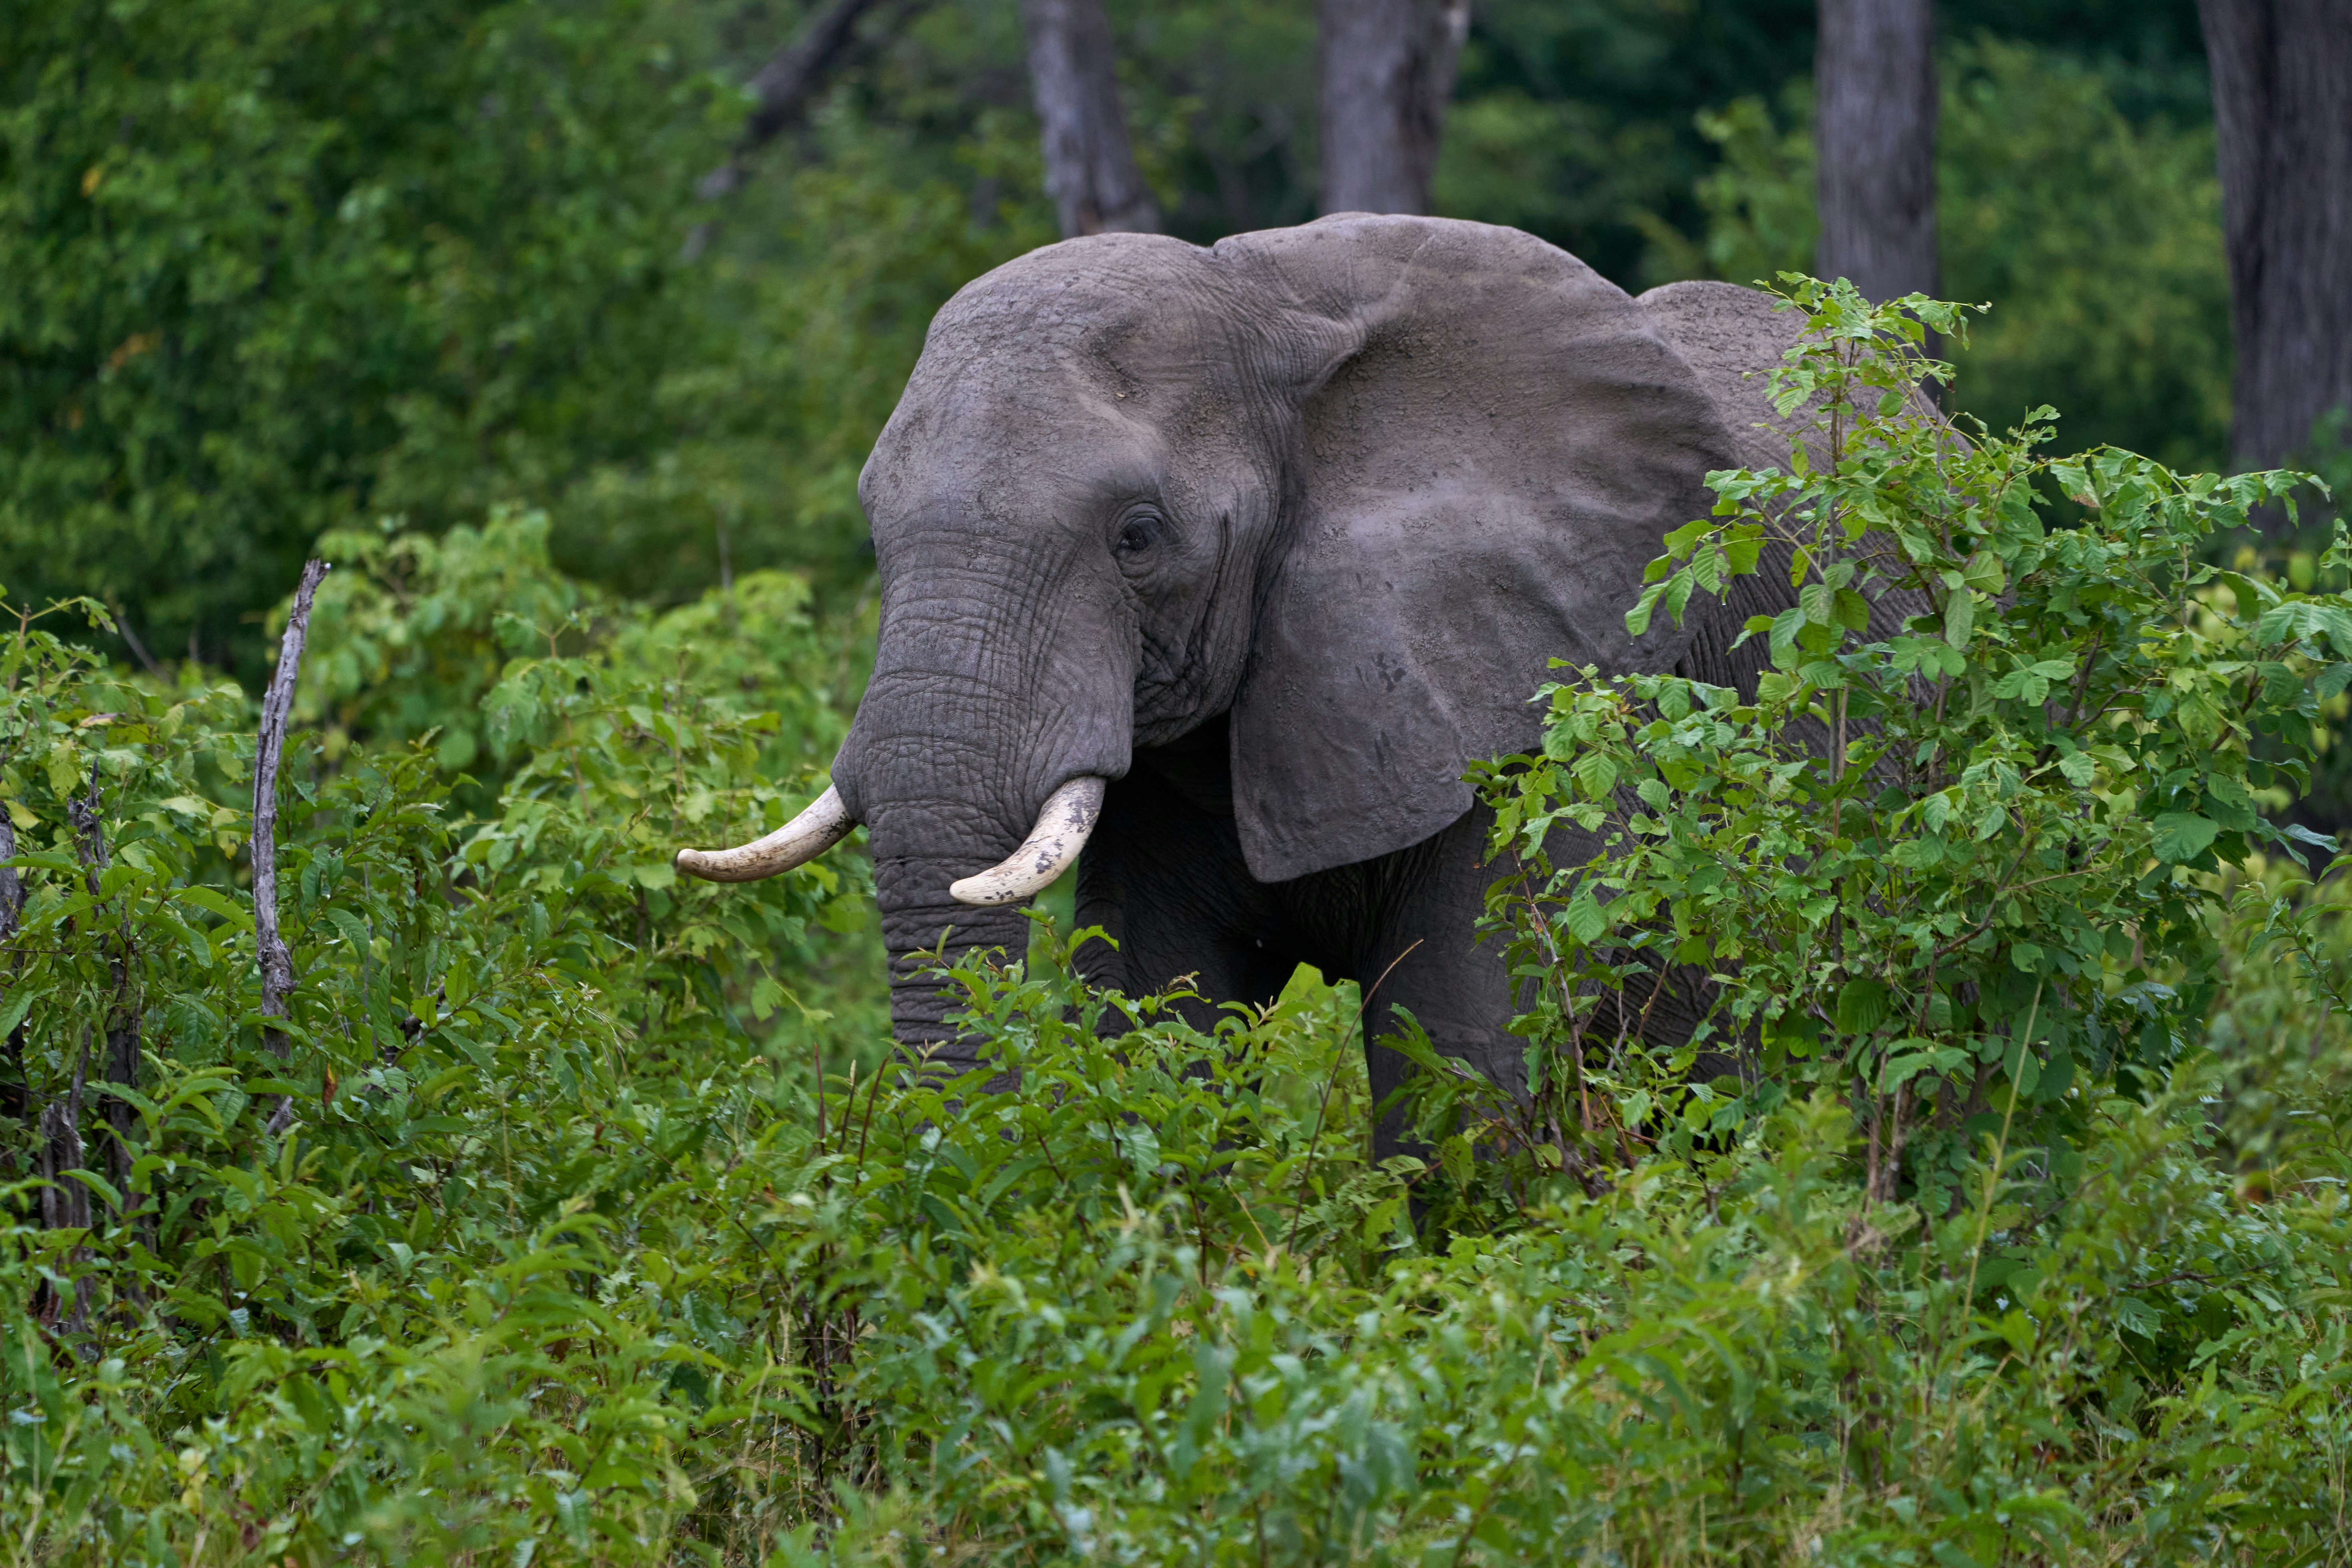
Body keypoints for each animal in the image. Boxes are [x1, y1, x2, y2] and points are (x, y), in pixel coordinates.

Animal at [674, 213, 1841, 1155]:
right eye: (874, 529)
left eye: (1138, 538)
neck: (1272, 307)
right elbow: (1160, 1024)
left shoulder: (1544, 713)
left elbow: (1457, 1062)